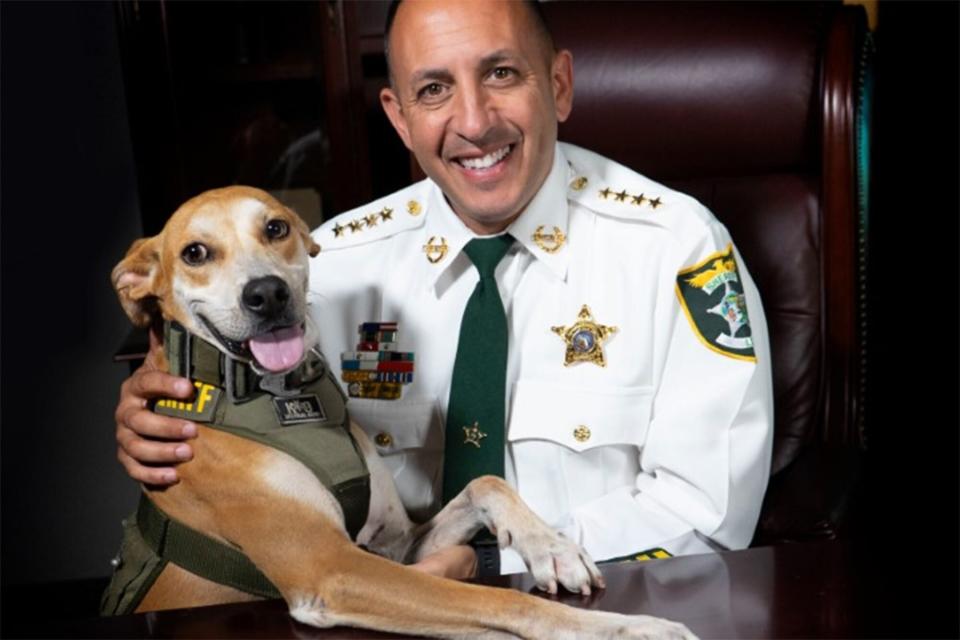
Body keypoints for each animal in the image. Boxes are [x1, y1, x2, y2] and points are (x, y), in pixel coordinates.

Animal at [110, 186, 696, 640]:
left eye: (275, 227)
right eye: (195, 253)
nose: (267, 294)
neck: (279, 399)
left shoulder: (393, 546)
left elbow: (486, 485)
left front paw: (551, 546)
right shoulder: (334, 569)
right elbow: (500, 600)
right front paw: (631, 628)